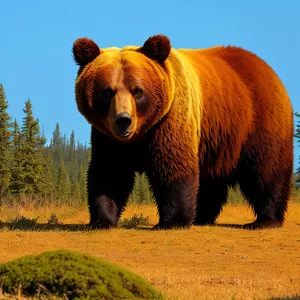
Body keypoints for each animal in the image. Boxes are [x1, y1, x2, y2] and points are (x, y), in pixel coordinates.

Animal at [72, 34, 292, 230]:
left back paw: (265, 220)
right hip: (216, 139)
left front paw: (172, 222)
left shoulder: (169, 121)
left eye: (138, 91)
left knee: (266, 170)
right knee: (210, 181)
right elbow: (109, 172)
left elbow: (173, 167)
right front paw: (101, 220)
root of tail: (267, 68)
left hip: (257, 121)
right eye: (107, 91)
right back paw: (202, 217)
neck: (140, 134)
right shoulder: (107, 138)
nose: (124, 120)